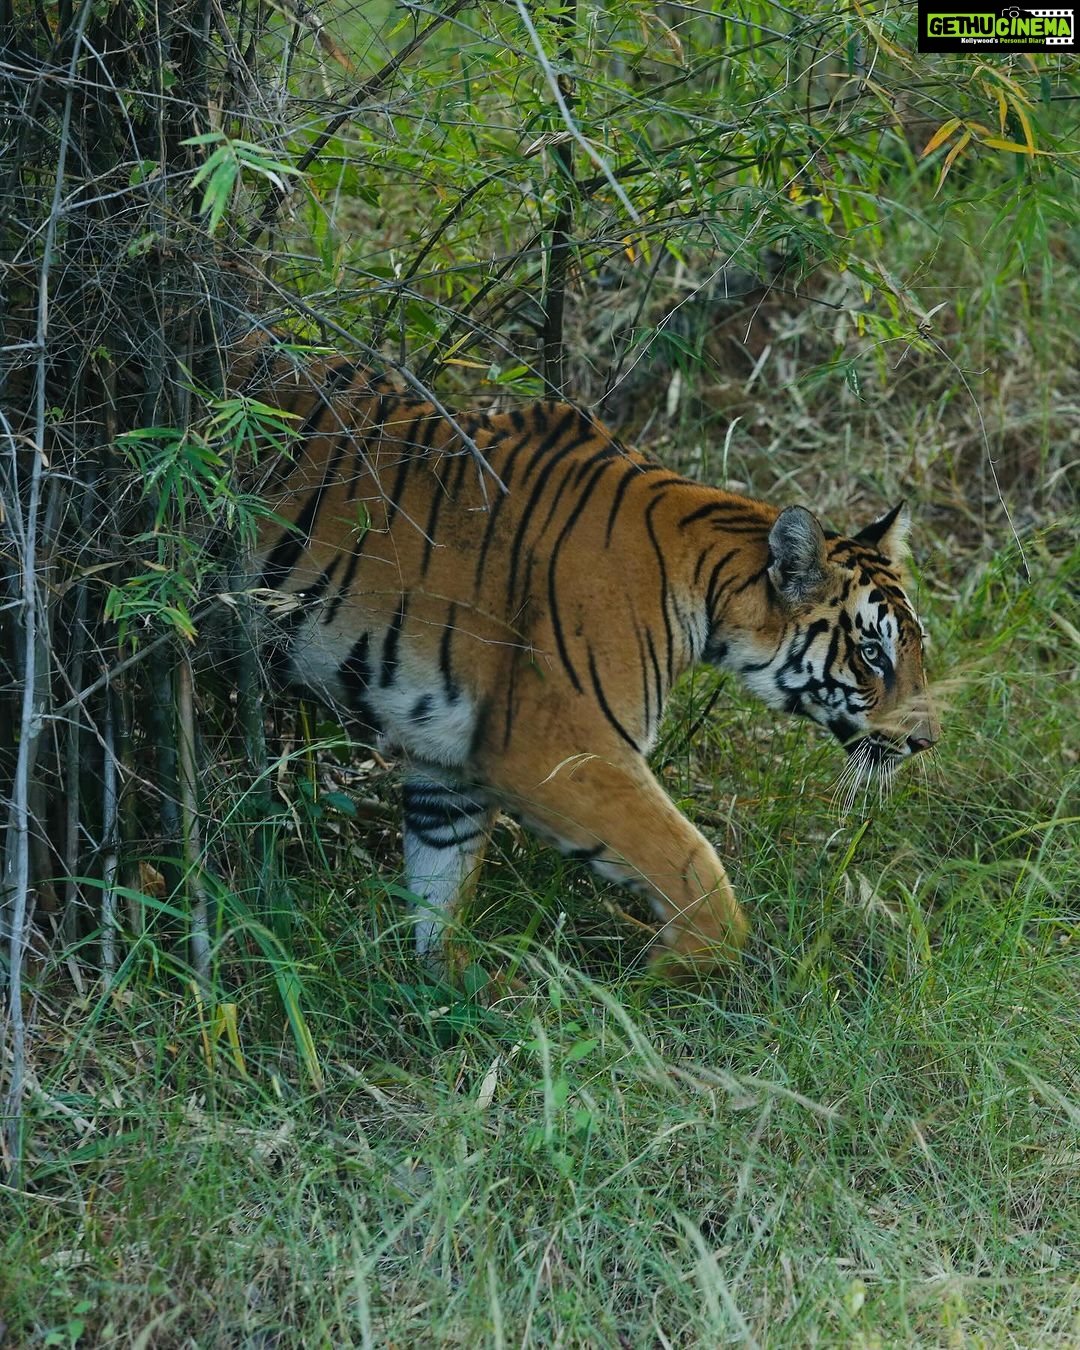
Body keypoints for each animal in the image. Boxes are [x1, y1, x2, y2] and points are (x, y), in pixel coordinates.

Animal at [248, 354, 937, 977]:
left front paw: (461, 993)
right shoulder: (561, 750)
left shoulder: (449, 753)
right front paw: (681, 966)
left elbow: (439, 883)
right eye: (871, 654)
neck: (708, 589)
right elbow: (690, 862)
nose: (925, 742)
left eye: (914, 649)